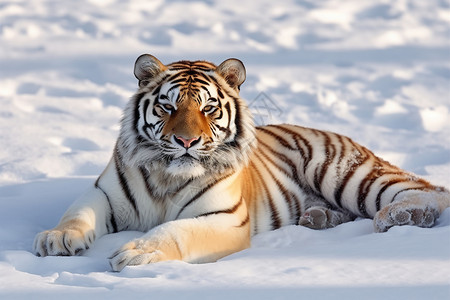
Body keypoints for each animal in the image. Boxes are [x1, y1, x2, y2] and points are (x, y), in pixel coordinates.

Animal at [33, 54, 450, 272]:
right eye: (168, 106)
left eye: (208, 108)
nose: (186, 141)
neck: (168, 178)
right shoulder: (103, 193)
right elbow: (77, 213)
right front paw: (57, 238)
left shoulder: (224, 217)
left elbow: (175, 231)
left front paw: (138, 252)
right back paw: (317, 218)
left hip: (344, 172)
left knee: (427, 189)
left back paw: (403, 216)